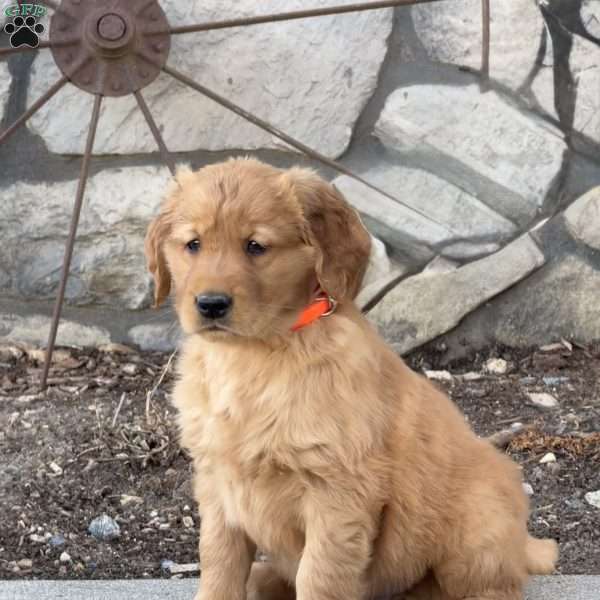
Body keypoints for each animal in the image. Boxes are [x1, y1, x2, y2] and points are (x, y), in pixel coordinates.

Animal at [145, 159, 556, 600]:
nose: (211, 304)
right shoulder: (217, 484)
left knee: (490, 584)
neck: (254, 355)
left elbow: (319, 575)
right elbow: (219, 562)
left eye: (256, 246)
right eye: (193, 244)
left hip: (477, 522)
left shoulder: (337, 492)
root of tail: (522, 544)